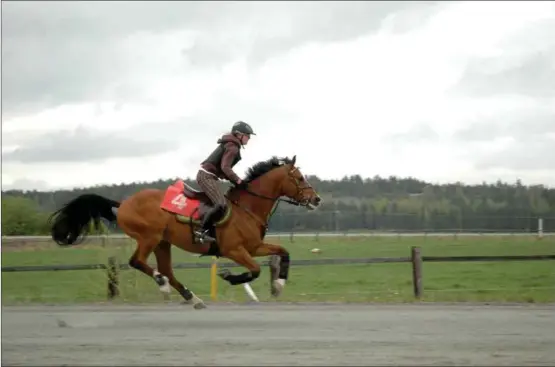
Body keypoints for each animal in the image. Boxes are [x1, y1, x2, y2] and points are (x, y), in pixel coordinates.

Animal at [50, 155, 324, 310]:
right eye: (299, 177)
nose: (317, 199)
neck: (247, 207)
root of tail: (123, 203)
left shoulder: (254, 247)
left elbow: (284, 252)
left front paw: (278, 284)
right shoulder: (234, 250)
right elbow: (254, 270)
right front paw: (229, 276)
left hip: (162, 243)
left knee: (167, 270)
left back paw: (192, 297)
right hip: (149, 237)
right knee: (138, 262)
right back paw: (162, 284)